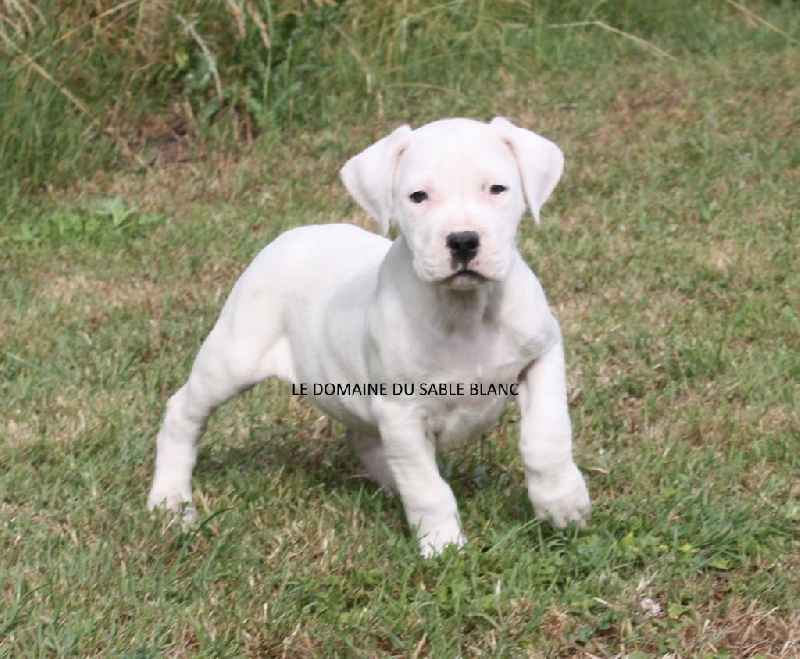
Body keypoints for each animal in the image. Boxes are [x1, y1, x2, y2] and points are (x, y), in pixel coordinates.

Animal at [147, 116, 592, 556]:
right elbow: (426, 487)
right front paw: (444, 546)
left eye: (497, 189)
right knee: (183, 413)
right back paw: (170, 500)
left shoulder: (542, 355)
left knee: (365, 440)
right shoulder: (401, 411)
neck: (465, 310)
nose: (464, 241)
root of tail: (294, 234)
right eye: (418, 196)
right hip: (233, 358)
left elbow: (545, 436)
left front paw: (562, 504)